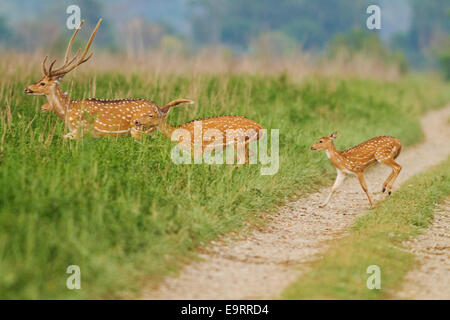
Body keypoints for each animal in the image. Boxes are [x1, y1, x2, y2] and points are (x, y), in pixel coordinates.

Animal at [24, 18, 192, 139]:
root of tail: (161, 109)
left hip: (140, 130)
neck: (68, 110)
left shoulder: (81, 131)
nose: (27, 89)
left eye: (42, 83)